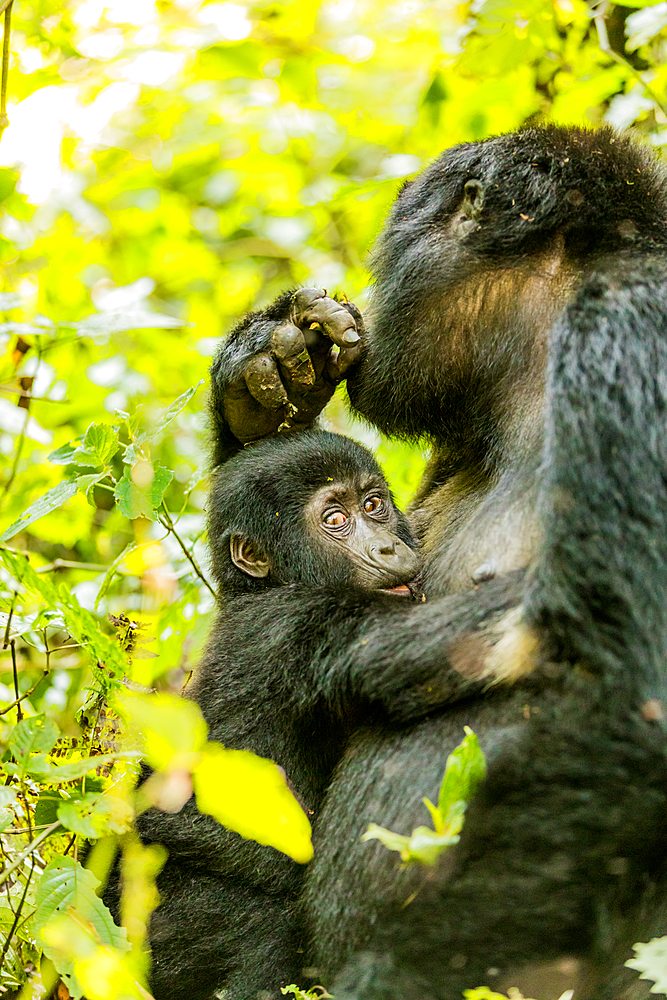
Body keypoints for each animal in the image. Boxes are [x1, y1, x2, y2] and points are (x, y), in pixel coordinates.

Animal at [214, 127, 667, 1000]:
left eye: (392, 246)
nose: (369, 306)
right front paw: (265, 375)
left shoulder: (631, 335)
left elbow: (639, 696)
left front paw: (396, 972)